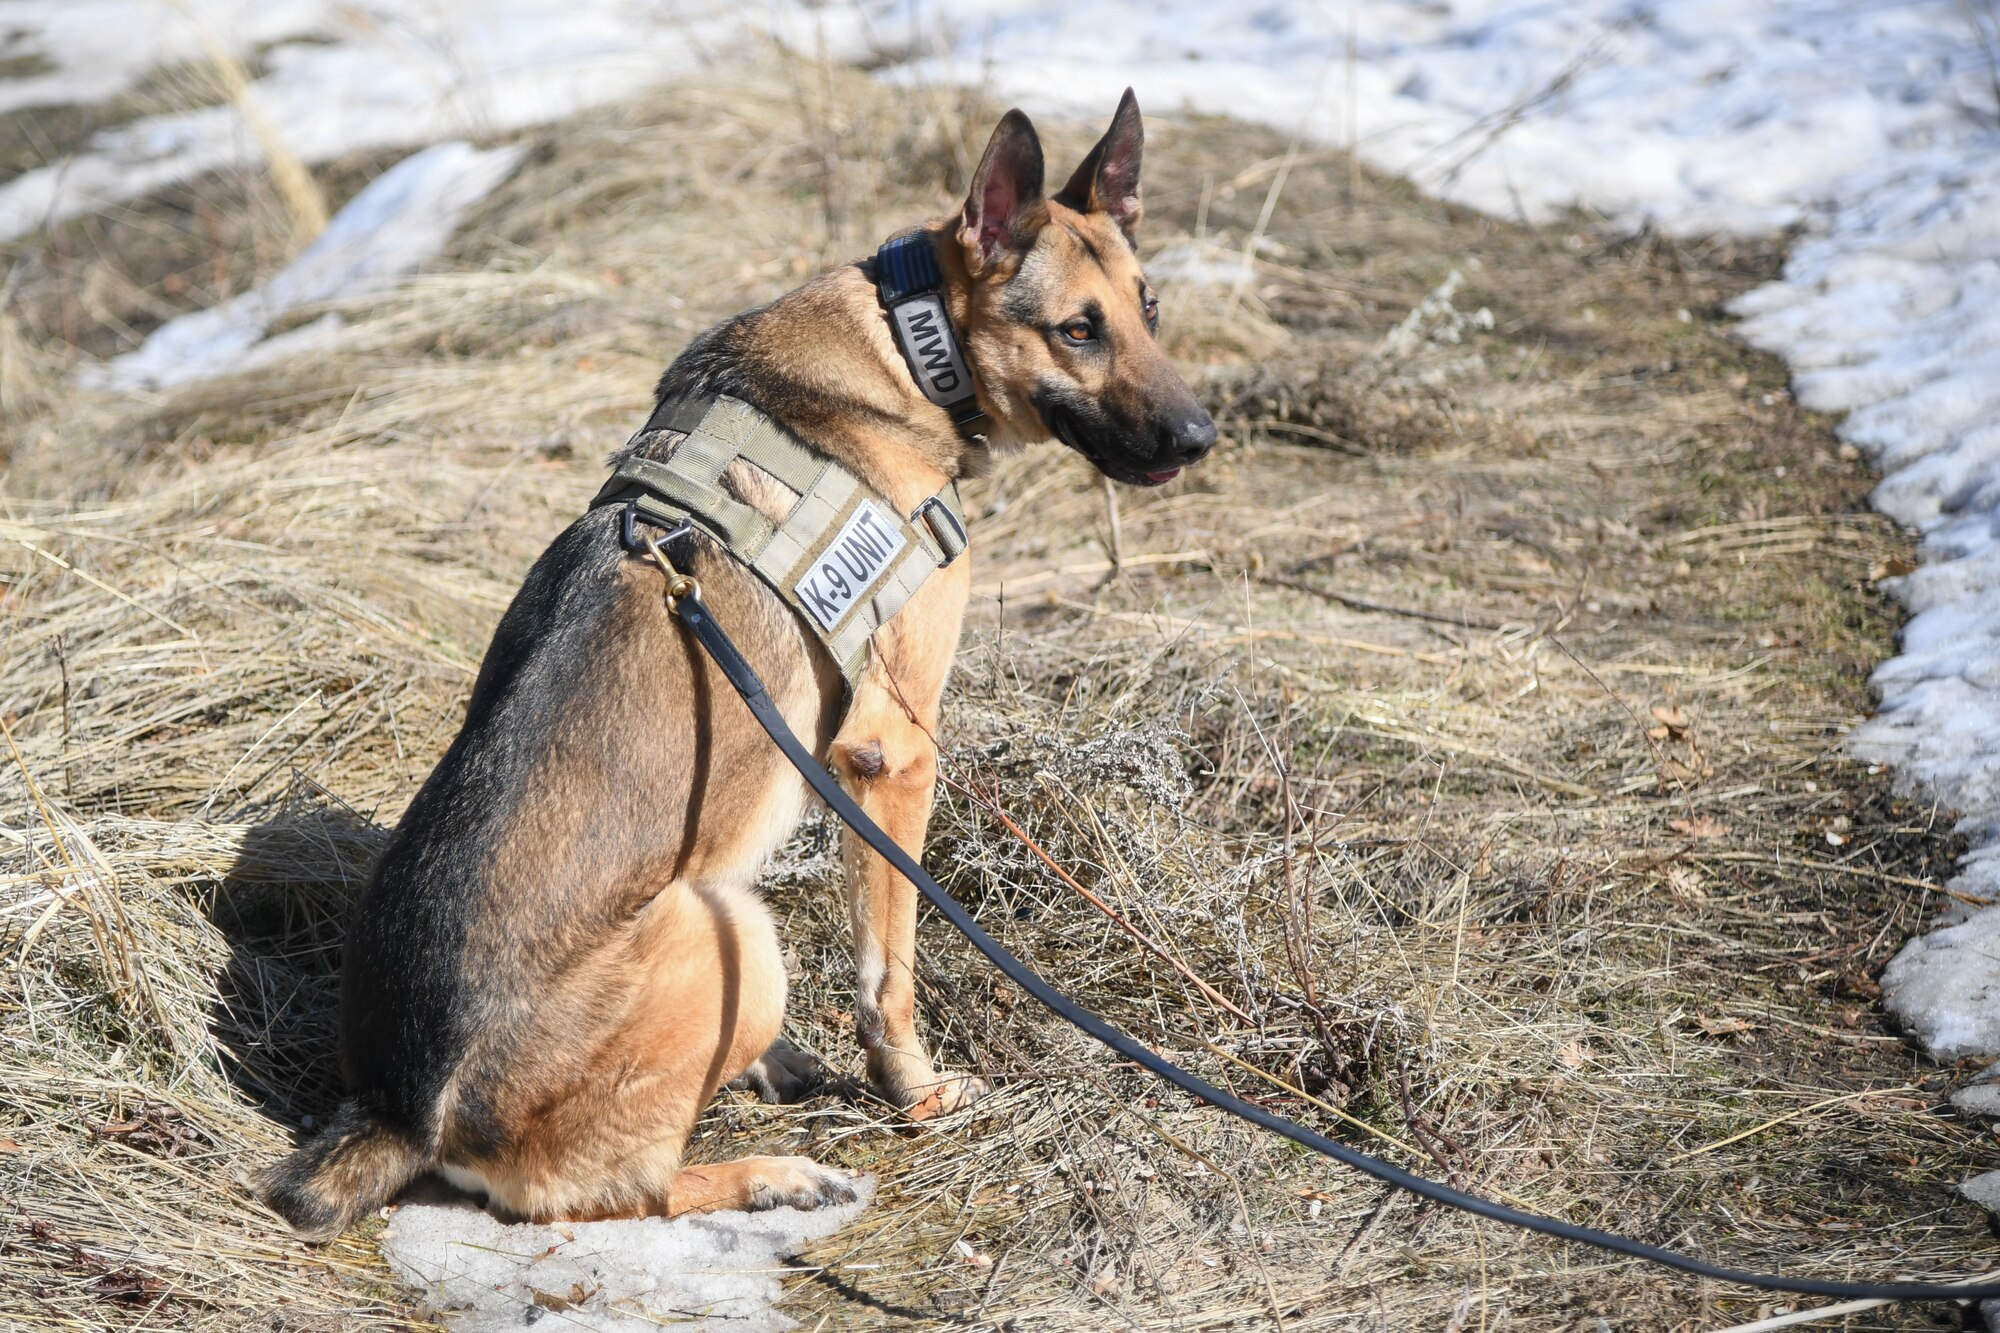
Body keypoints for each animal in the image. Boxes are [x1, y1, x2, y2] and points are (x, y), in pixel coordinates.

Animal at [260, 91, 1208, 1232]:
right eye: (1076, 329)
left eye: (1149, 309)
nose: (1200, 436)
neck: (908, 341)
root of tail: (404, 1113)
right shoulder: (893, 752)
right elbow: (888, 972)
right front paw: (915, 1090)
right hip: (730, 925)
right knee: (622, 1191)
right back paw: (771, 1174)